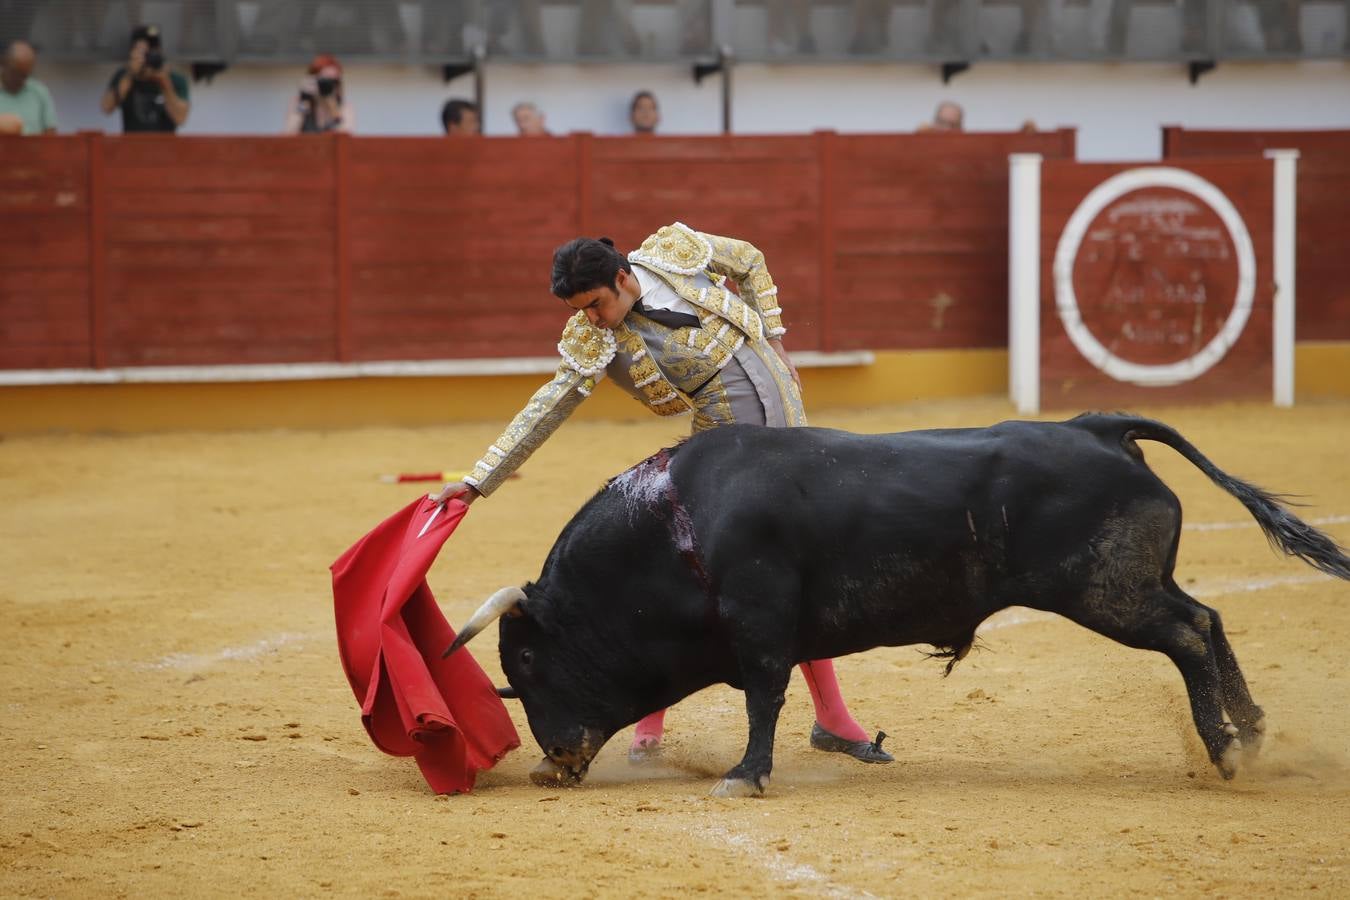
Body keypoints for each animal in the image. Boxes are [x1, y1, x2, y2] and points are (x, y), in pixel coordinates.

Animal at [445, 415, 1350, 793]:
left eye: (528, 661)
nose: (549, 760)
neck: (677, 528)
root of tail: (1095, 426)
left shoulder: (760, 625)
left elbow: (765, 697)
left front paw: (745, 776)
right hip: (1130, 584)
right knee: (1210, 619)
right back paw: (1253, 732)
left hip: (1107, 591)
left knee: (1191, 632)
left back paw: (1226, 753)